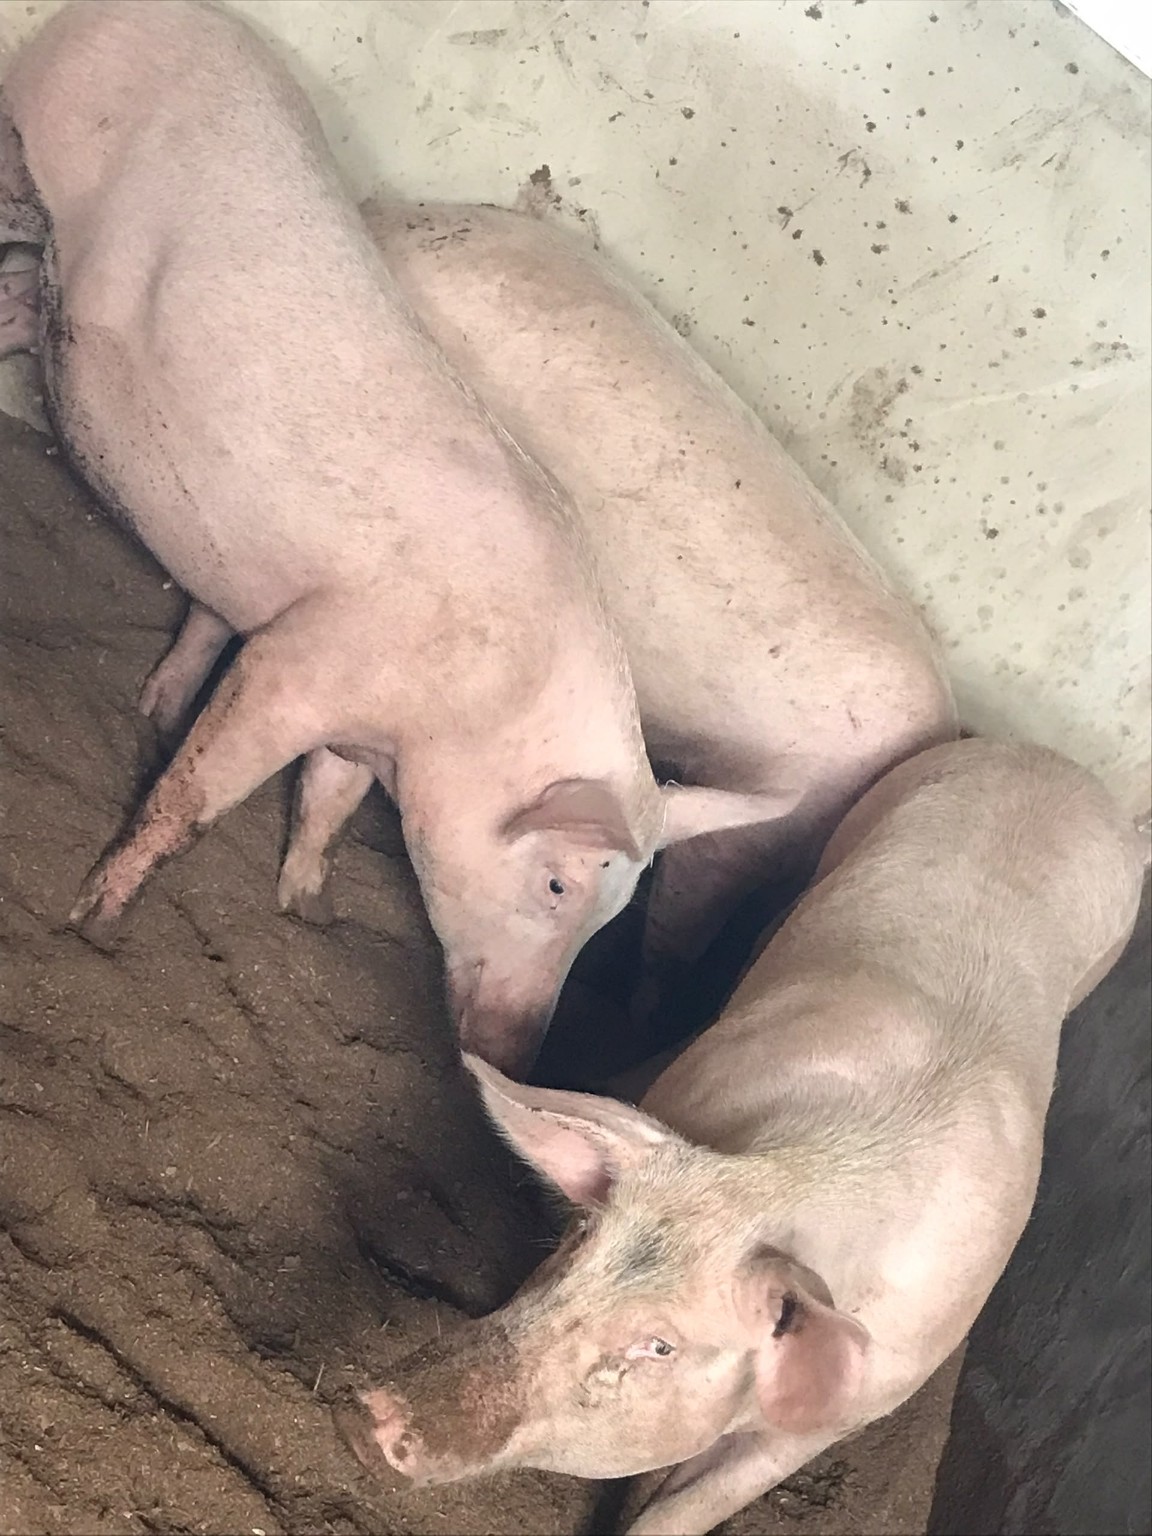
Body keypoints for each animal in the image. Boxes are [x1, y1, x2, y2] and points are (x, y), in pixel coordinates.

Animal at [0, 1, 785, 1075]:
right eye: (557, 885)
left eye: (609, 921)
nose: (512, 1055)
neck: (462, 708)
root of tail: (128, 13)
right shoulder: (302, 661)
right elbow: (200, 794)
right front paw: (95, 921)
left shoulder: (360, 738)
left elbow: (327, 801)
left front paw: (303, 904)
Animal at [351, 738, 1148, 1535]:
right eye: (578, 1245)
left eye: (660, 1345)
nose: (377, 1414)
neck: (776, 1189)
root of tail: (1048, 762)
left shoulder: (845, 1408)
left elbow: (693, 1506)